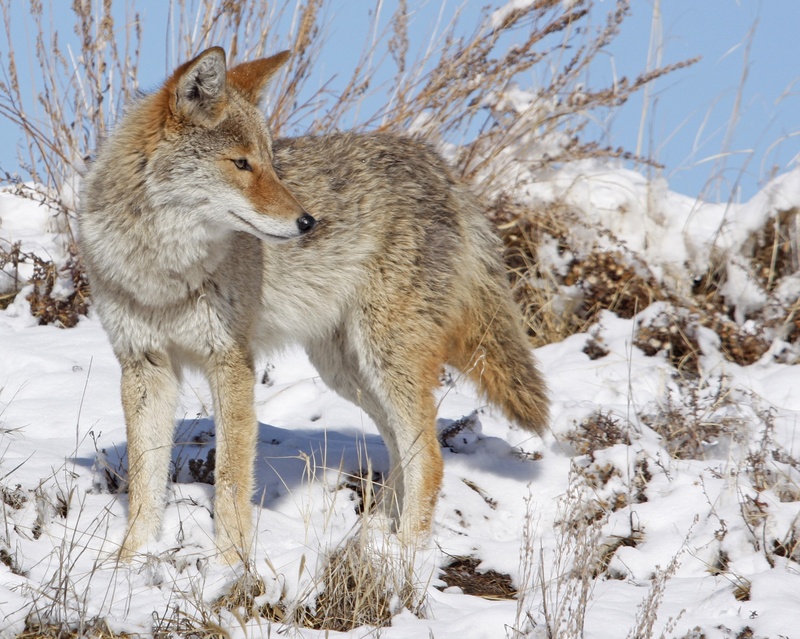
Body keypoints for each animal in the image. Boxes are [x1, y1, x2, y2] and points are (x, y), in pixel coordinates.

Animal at [78, 47, 549, 563]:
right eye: (241, 163)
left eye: (269, 162)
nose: (308, 222)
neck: (162, 271)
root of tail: (440, 167)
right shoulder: (144, 367)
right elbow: (145, 485)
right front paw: (129, 561)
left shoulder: (231, 363)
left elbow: (231, 480)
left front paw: (231, 565)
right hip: (346, 370)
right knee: (399, 452)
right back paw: (375, 534)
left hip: (385, 360)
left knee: (430, 458)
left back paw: (401, 556)